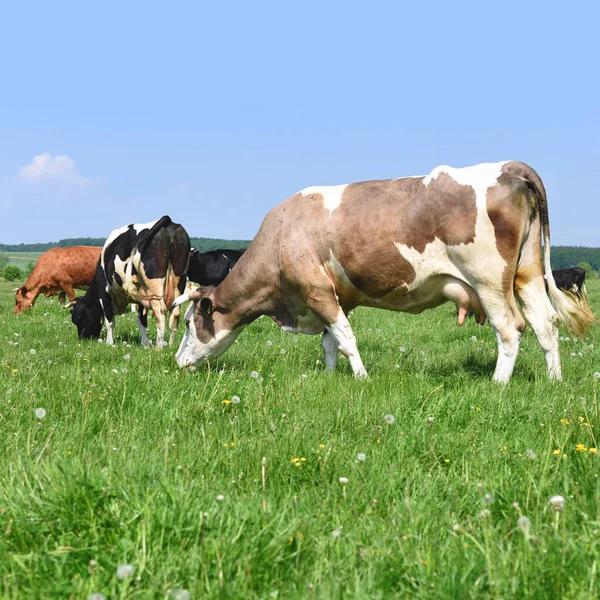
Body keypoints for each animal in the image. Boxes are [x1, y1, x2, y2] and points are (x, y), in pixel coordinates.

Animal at [70, 216, 192, 346]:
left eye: (77, 319)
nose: (83, 339)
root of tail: (169, 222)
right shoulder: (141, 295)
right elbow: (141, 321)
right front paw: (145, 343)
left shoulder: (104, 292)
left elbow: (109, 320)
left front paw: (109, 342)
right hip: (179, 280)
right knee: (175, 313)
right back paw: (170, 345)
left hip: (154, 284)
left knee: (160, 313)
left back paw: (159, 346)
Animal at [173, 161, 596, 384]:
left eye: (191, 324)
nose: (176, 363)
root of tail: (506, 167)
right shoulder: (336, 296)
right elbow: (329, 342)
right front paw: (331, 376)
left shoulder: (317, 290)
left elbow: (346, 339)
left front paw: (361, 377)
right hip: (527, 274)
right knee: (545, 323)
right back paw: (554, 380)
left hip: (490, 281)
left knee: (510, 328)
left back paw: (498, 383)